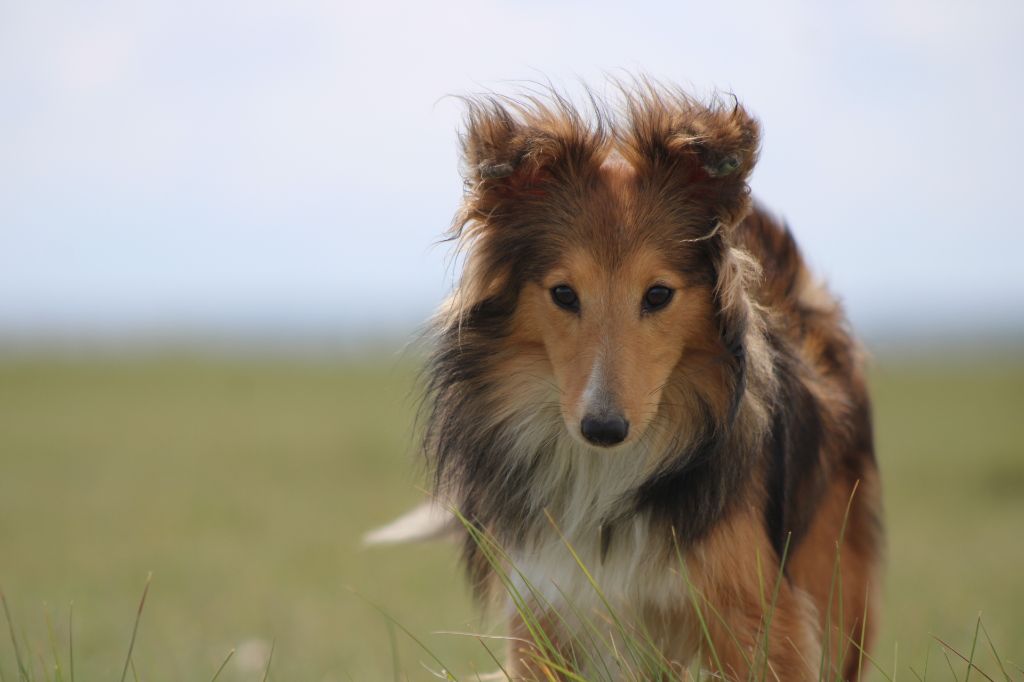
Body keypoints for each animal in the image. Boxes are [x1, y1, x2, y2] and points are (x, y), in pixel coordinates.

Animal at [372, 82, 884, 675]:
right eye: (564, 293)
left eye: (658, 294)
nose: (603, 428)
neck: (605, 475)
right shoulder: (543, 608)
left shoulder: (755, 615)